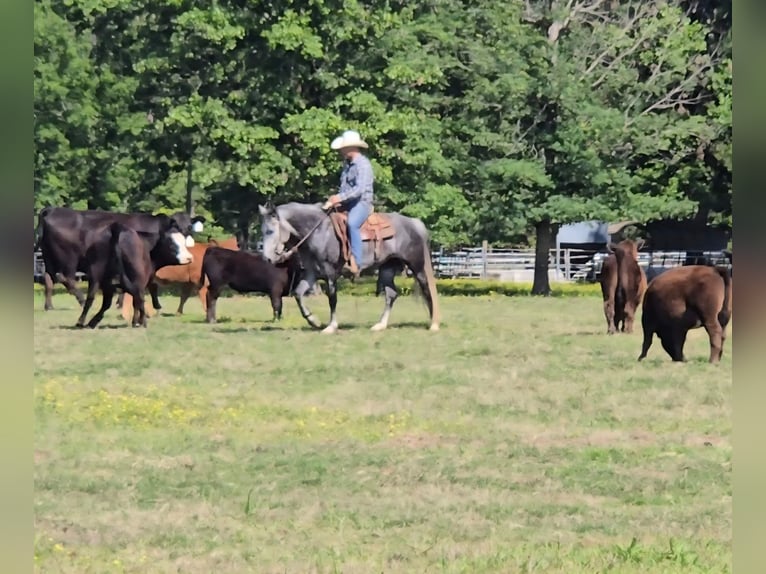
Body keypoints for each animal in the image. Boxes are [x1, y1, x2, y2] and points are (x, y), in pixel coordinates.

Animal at [258, 201, 440, 334]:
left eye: (270, 231)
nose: (267, 258)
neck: (319, 232)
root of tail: (414, 223)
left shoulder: (330, 272)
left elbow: (332, 298)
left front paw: (331, 326)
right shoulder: (312, 273)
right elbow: (298, 294)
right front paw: (314, 321)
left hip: (416, 266)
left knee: (426, 290)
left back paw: (433, 324)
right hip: (387, 268)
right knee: (391, 295)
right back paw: (380, 325)